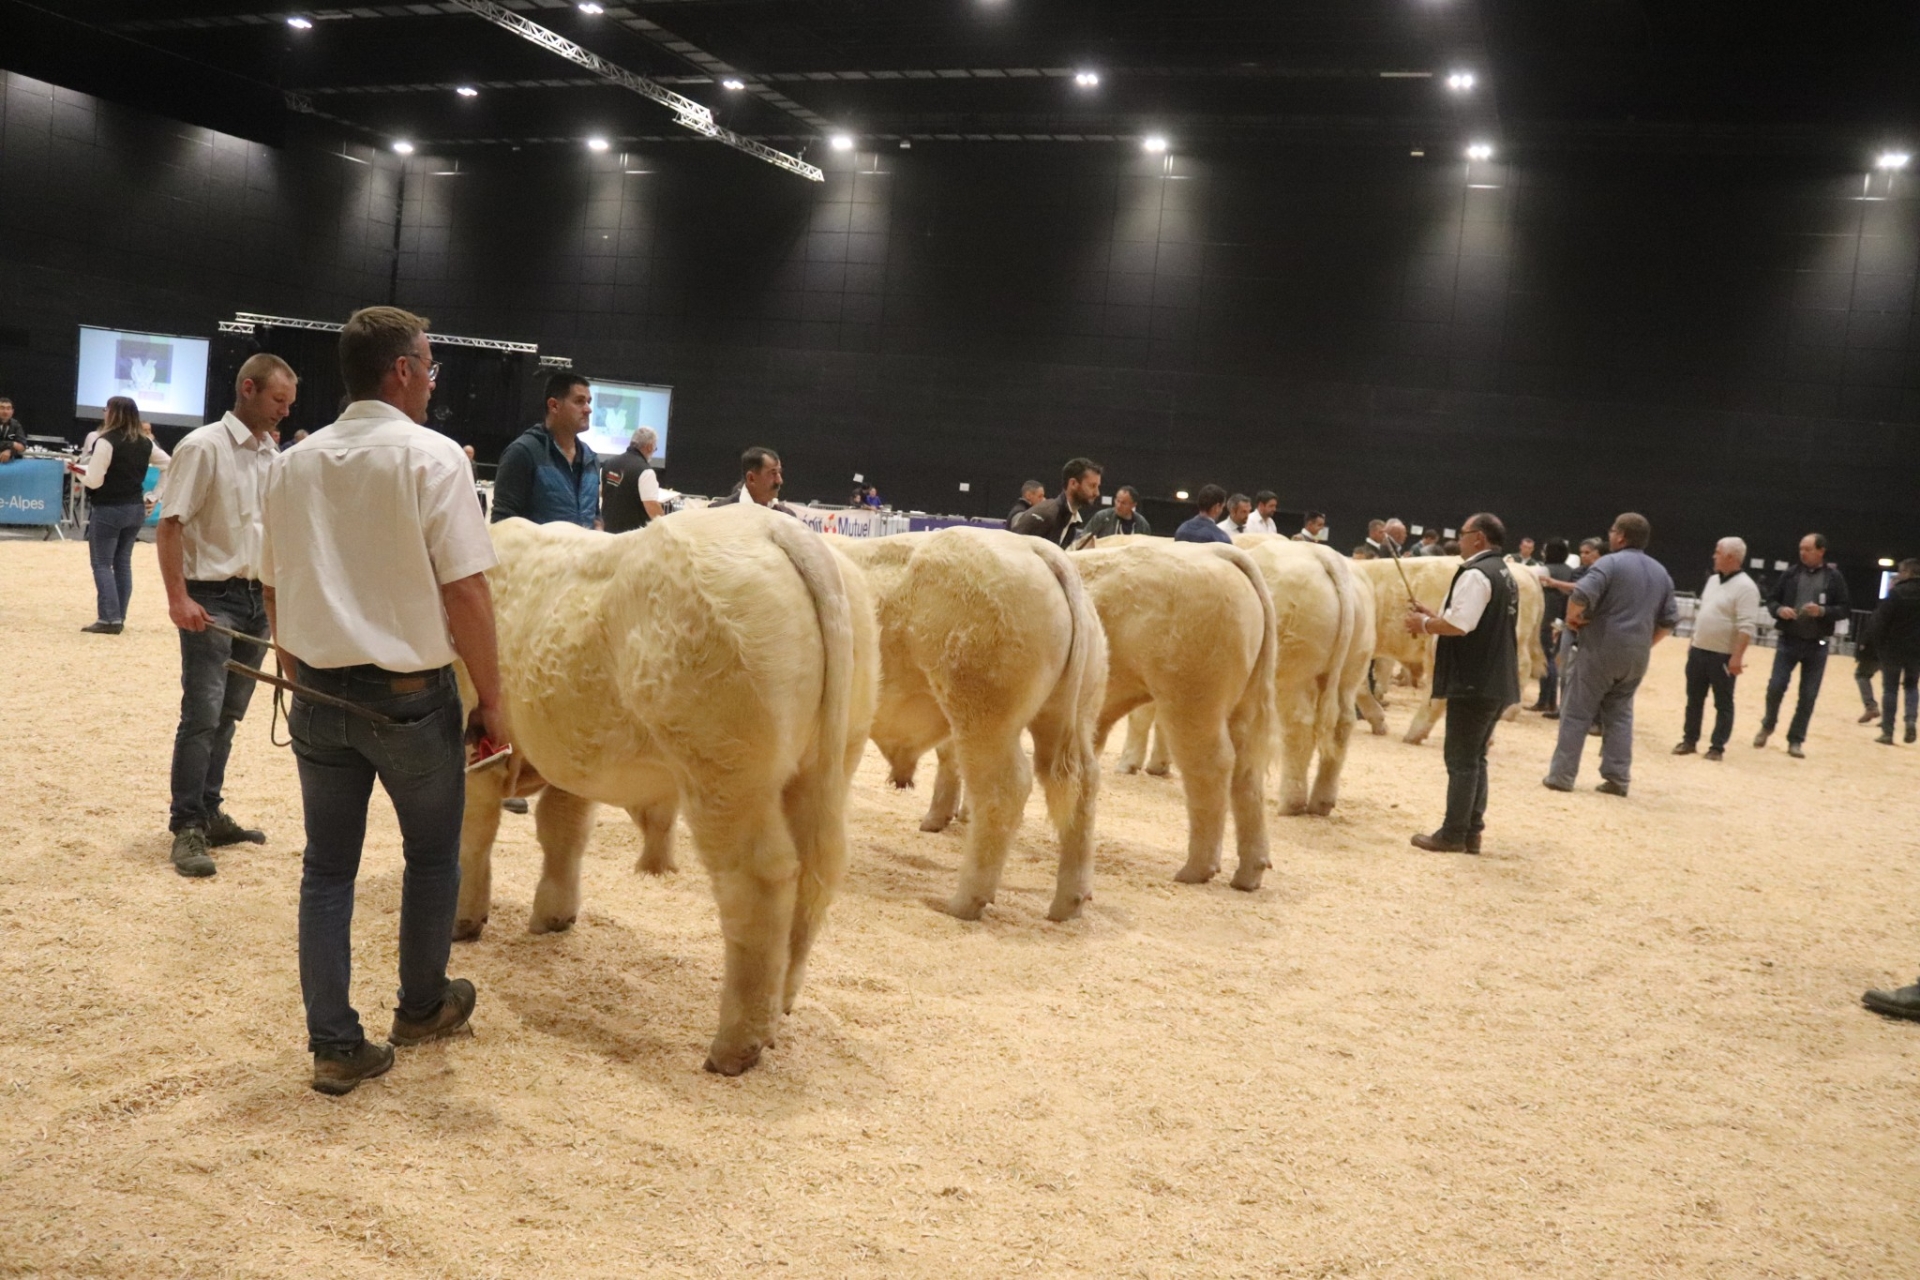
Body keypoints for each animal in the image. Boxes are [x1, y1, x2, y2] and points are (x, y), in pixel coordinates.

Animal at [460, 506, 879, 1074]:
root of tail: (777, 527)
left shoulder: (475, 747)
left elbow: (472, 835)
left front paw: (464, 921)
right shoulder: (576, 756)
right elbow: (563, 831)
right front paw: (554, 914)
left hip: (725, 772)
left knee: (760, 880)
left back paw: (734, 1046)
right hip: (830, 758)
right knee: (817, 872)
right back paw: (779, 1008)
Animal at [833, 525, 1105, 924]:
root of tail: (1034, 547)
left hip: (983, 717)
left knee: (1003, 789)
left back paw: (965, 902)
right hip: (1071, 717)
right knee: (1081, 784)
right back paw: (1067, 904)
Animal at [1082, 541, 1274, 890]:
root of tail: (1216, 552)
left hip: (1190, 701)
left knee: (1210, 767)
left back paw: (1196, 870)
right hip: (1244, 707)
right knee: (1247, 770)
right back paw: (1248, 875)